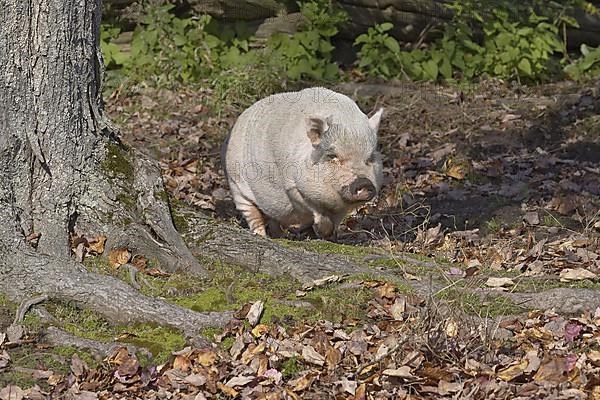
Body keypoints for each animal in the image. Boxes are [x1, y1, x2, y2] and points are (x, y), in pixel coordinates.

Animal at [223, 86, 382, 239]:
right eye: (332, 156)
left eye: (370, 157)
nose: (364, 182)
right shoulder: (292, 186)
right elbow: (315, 210)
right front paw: (321, 231)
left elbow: (336, 220)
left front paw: (330, 237)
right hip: (236, 185)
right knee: (253, 215)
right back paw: (262, 236)